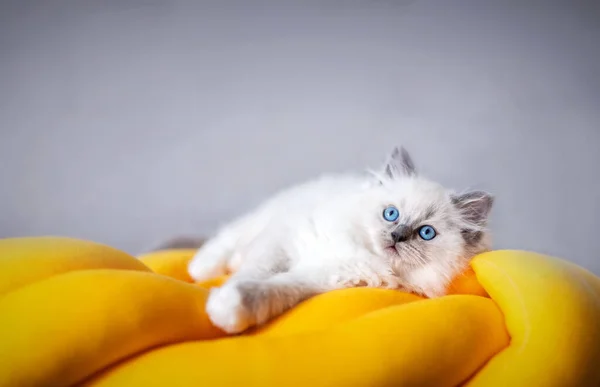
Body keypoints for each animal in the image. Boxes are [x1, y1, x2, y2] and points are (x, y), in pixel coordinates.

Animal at [186, 147, 492, 334]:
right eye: (391, 214)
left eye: (426, 233)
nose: (397, 236)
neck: (357, 252)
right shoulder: (283, 240)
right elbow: (253, 272)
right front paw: (222, 297)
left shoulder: (323, 279)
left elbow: (269, 288)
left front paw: (229, 306)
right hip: (266, 218)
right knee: (227, 242)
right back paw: (202, 268)